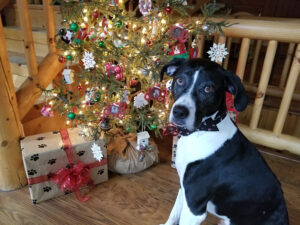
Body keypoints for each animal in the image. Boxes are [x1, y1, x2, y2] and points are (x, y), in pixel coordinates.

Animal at [159, 58, 288, 225]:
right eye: (180, 80)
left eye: (208, 88)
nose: (179, 112)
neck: (202, 131)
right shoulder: (184, 189)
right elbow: (173, 214)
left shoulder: (194, 208)